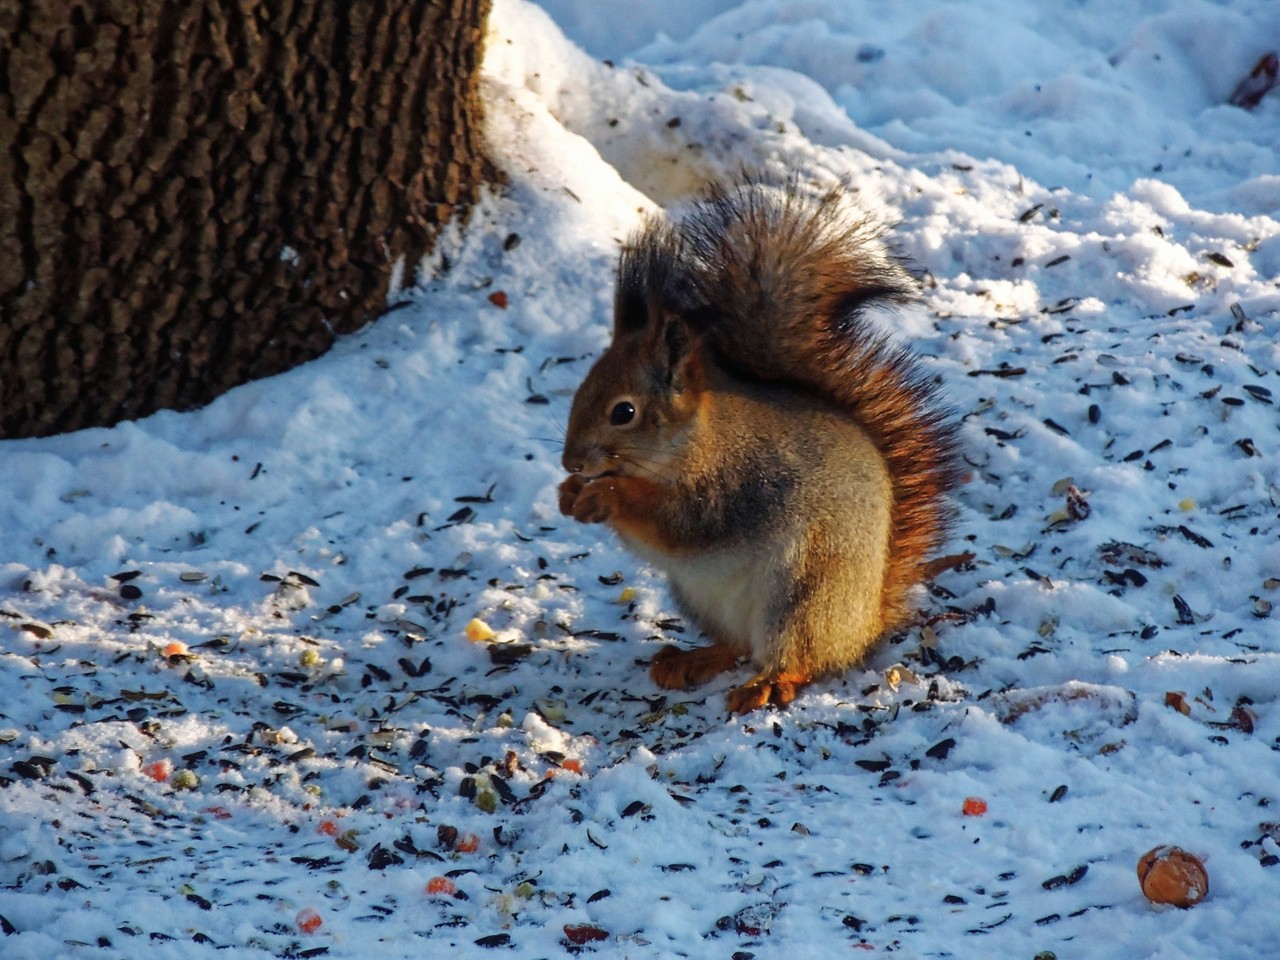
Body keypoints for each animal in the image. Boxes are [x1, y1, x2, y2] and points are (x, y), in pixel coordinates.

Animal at [560, 179, 962, 716]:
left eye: (623, 412)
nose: (571, 461)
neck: (691, 443)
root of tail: (863, 625)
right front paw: (568, 494)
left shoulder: (730, 486)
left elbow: (677, 524)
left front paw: (605, 495)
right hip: (704, 600)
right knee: (737, 646)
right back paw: (692, 660)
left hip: (802, 596)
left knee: (800, 659)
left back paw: (769, 683)